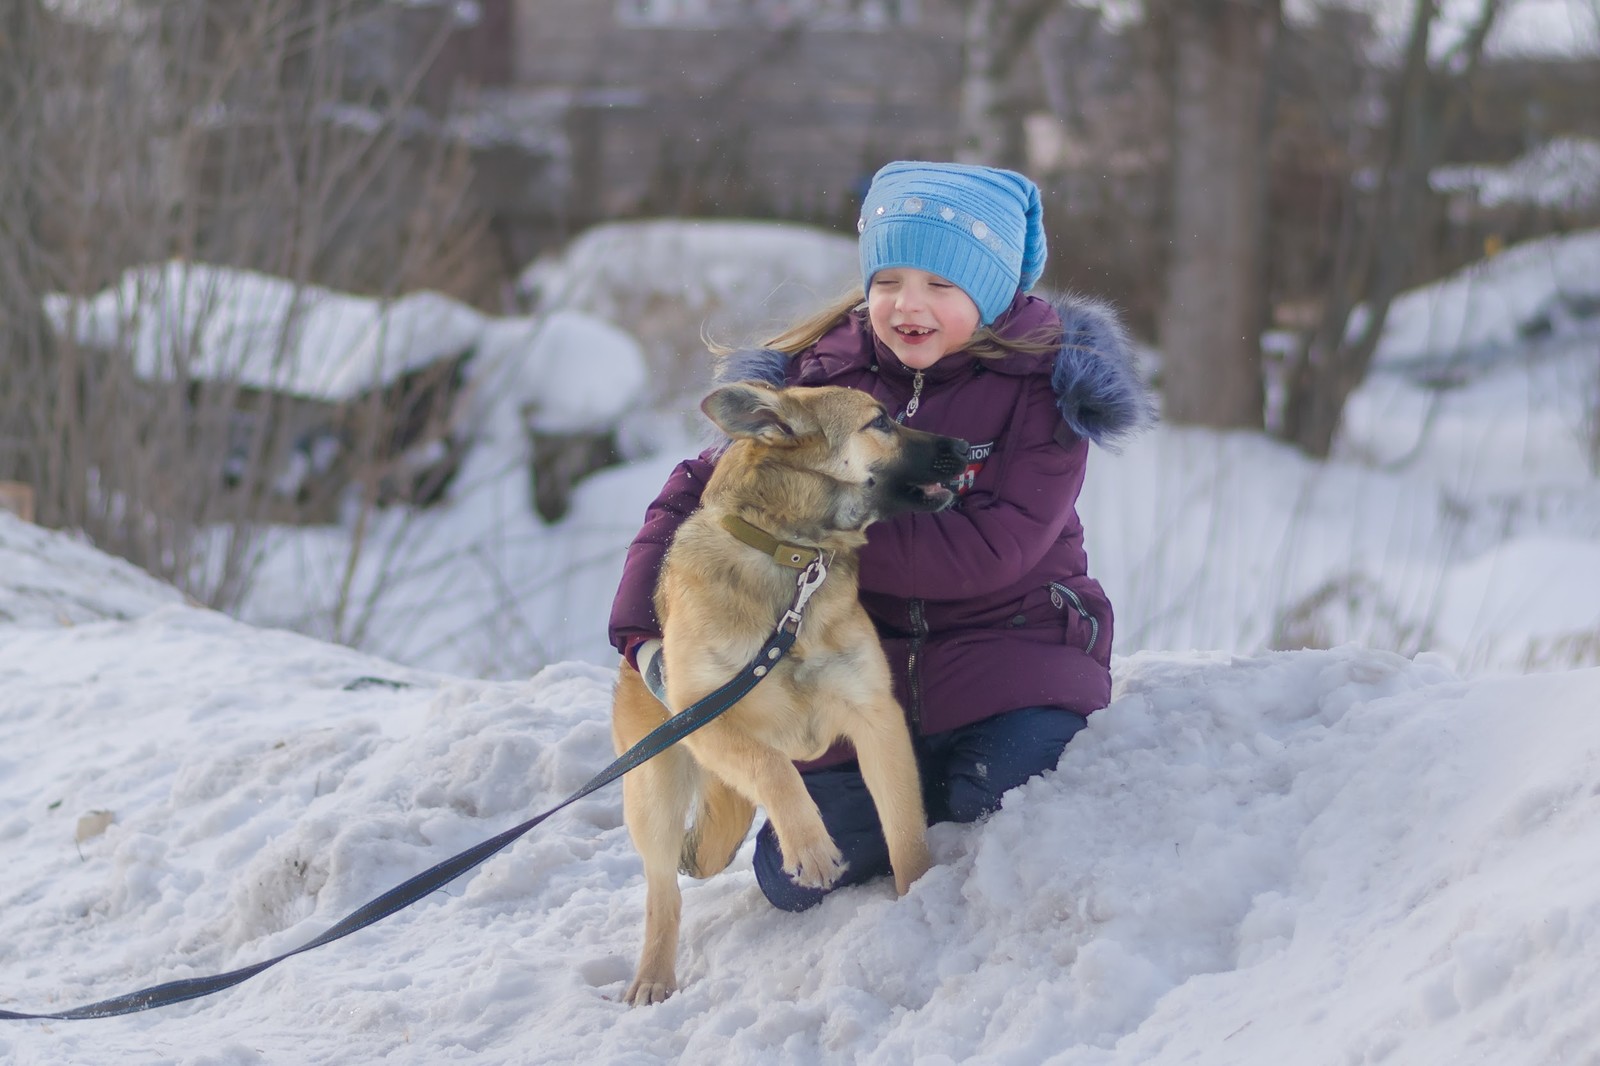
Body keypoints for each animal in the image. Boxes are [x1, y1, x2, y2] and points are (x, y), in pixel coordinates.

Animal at [604, 382, 966, 1005]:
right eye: (881, 421)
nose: (967, 447)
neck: (792, 558)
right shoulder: (707, 719)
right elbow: (771, 767)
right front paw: (810, 847)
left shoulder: (876, 718)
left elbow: (903, 831)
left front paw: (919, 898)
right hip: (654, 791)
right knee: (662, 893)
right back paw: (653, 975)